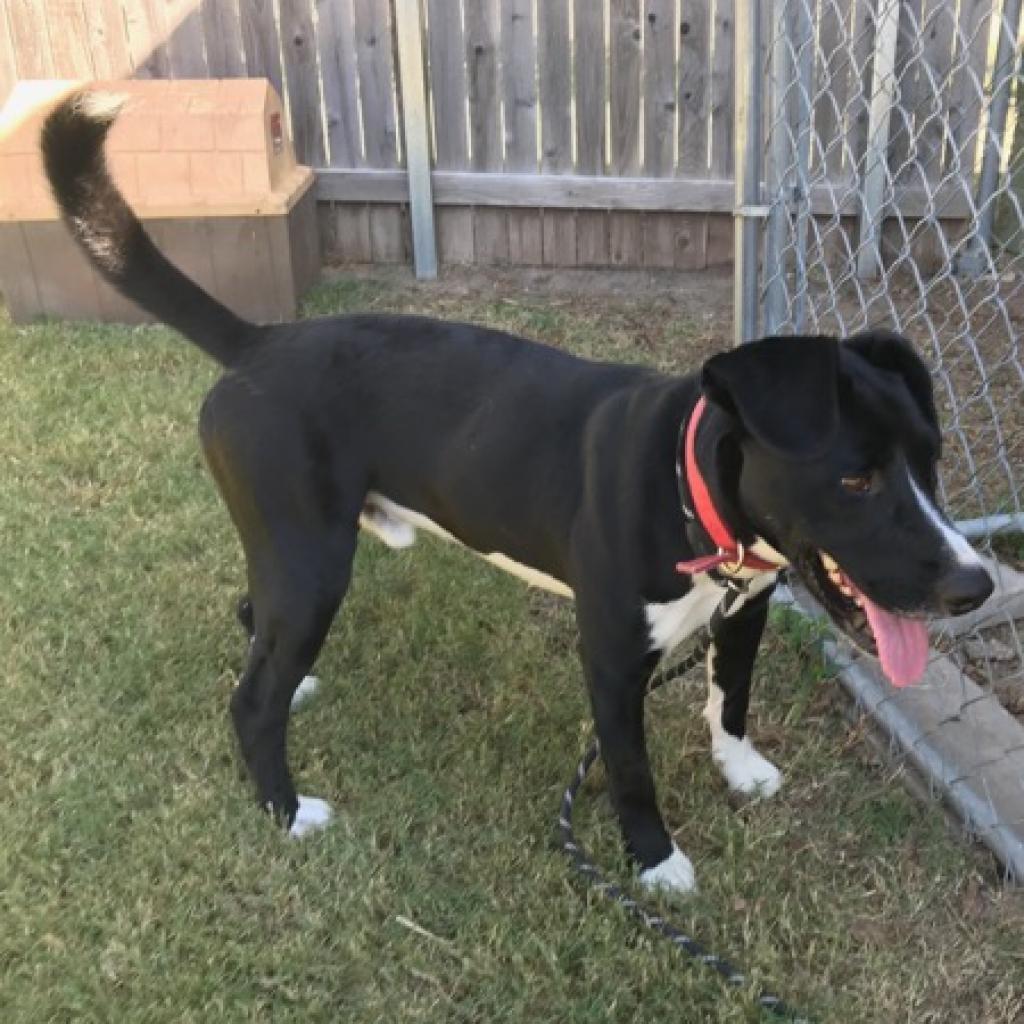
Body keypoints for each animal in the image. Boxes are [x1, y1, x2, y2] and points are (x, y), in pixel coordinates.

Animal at [41, 96, 991, 897]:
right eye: (857, 478)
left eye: (933, 460)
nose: (975, 584)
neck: (685, 491)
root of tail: (257, 343)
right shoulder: (611, 658)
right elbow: (631, 771)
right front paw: (655, 863)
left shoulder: (745, 611)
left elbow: (733, 696)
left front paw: (739, 767)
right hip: (312, 562)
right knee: (249, 700)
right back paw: (287, 808)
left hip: (290, 556)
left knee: (257, 626)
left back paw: (297, 687)